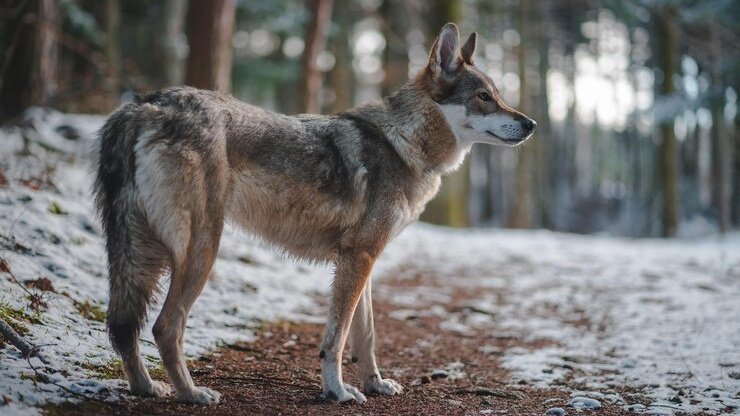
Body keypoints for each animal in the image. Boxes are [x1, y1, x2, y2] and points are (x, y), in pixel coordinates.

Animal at [95, 22, 536, 404]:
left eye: (499, 95)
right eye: (484, 97)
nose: (531, 123)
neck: (403, 143)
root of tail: (143, 104)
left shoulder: (363, 260)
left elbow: (366, 336)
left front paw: (375, 384)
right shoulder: (358, 258)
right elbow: (336, 339)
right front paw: (337, 391)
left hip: (141, 254)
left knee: (124, 327)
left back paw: (146, 388)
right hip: (200, 251)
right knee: (164, 327)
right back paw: (191, 394)